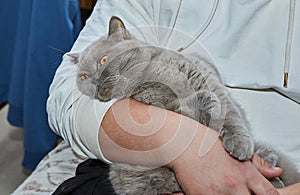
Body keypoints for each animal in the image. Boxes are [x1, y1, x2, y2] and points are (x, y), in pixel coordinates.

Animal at [71, 16, 298, 193]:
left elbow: (231, 117)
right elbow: (189, 107)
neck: (155, 70)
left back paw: (268, 157)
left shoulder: (211, 83)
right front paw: (204, 102)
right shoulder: (160, 106)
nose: (94, 83)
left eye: (103, 60)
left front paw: (240, 145)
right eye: (83, 77)